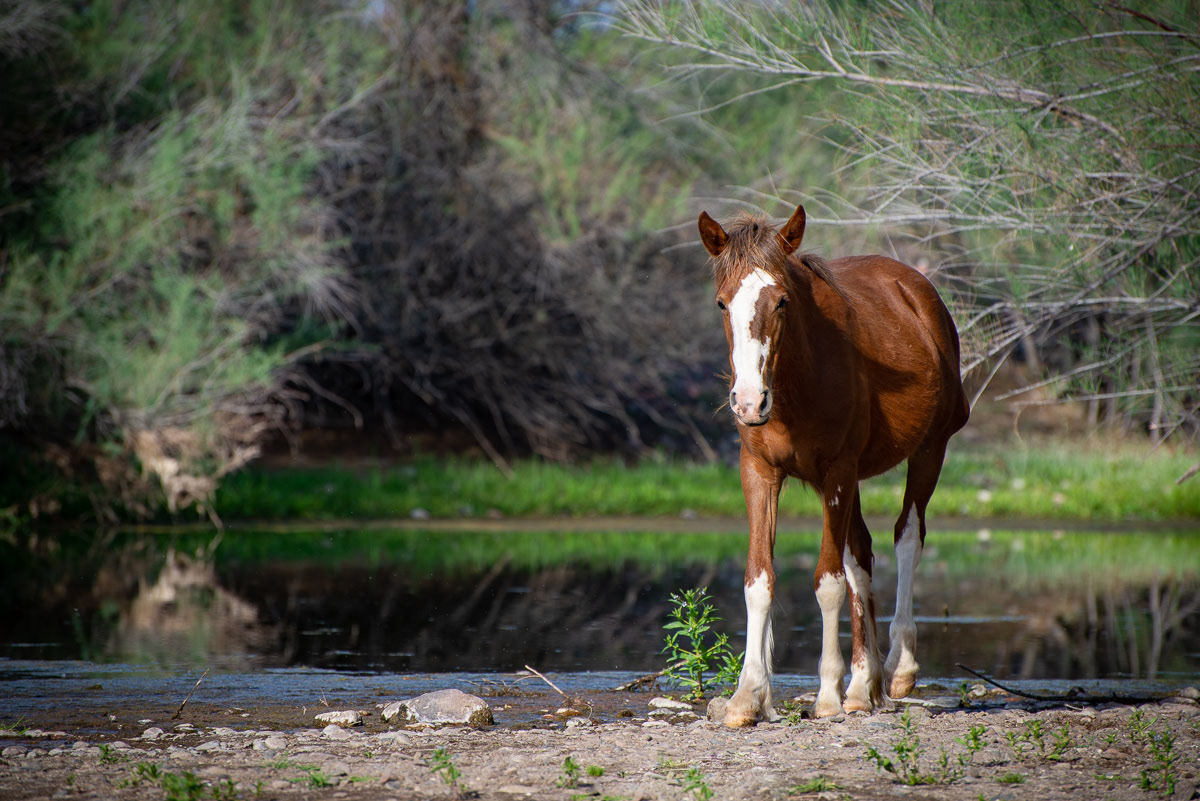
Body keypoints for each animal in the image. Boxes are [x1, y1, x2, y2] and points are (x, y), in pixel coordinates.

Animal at [698, 204, 969, 725]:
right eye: (722, 304)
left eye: (782, 301)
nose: (748, 402)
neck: (797, 380)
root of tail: (916, 289)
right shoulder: (760, 471)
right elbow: (760, 580)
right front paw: (749, 695)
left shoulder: (838, 473)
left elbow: (828, 582)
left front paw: (826, 693)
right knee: (860, 554)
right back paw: (865, 686)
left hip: (929, 451)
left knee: (907, 538)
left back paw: (898, 667)